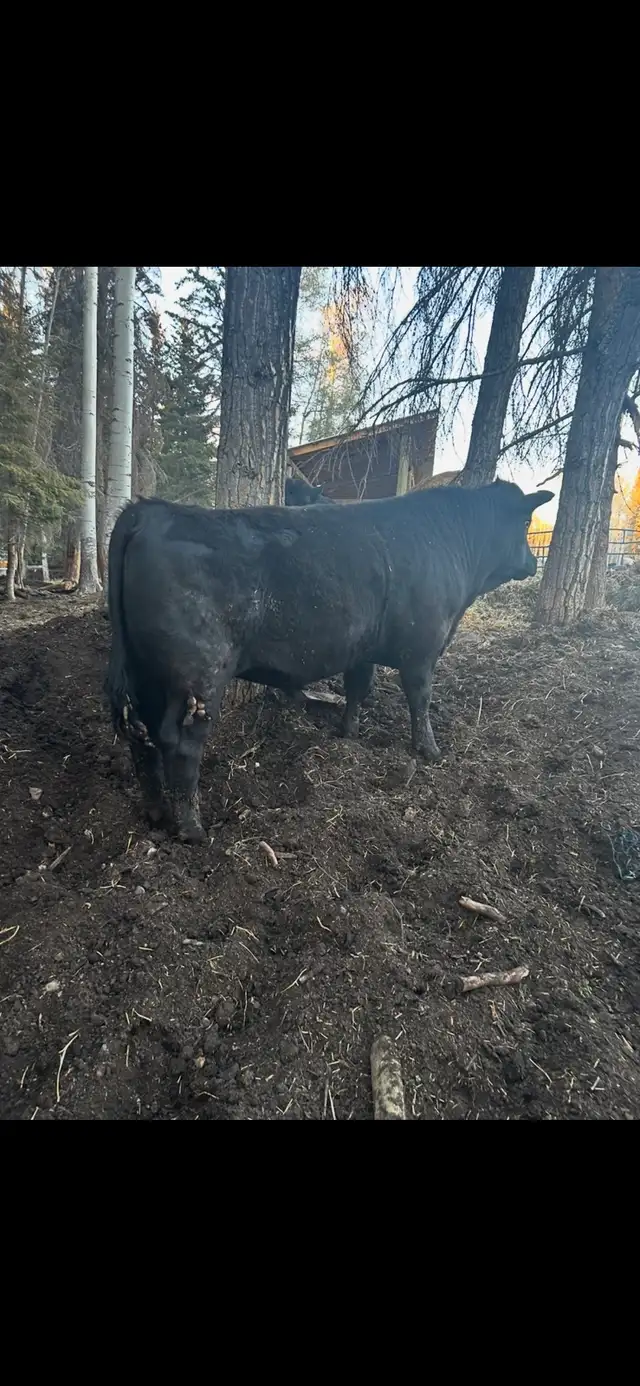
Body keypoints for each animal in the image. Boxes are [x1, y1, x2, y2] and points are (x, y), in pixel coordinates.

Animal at [105, 481, 553, 842]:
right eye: (524, 523)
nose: (533, 563)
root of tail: (149, 510)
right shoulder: (421, 649)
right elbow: (420, 699)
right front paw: (429, 750)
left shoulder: (363, 649)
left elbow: (358, 688)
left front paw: (348, 734)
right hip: (200, 675)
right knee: (180, 743)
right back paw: (192, 829)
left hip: (144, 672)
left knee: (142, 736)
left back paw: (156, 811)